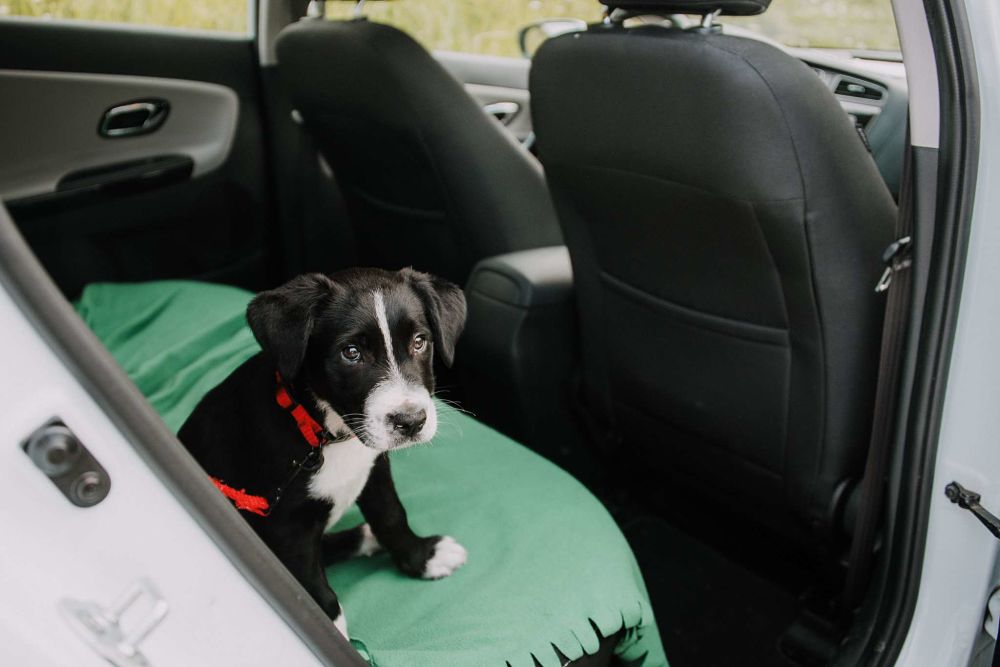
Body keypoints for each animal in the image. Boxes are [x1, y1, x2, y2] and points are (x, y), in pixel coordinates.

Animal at [179, 266, 468, 636]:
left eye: (419, 342)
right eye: (351, 353)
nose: (411, 421)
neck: (330, 435)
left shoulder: (374, 468)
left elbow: (391, 515)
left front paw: (421, 556)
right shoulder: (288, 526)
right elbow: (312, 588)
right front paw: (335, 633)